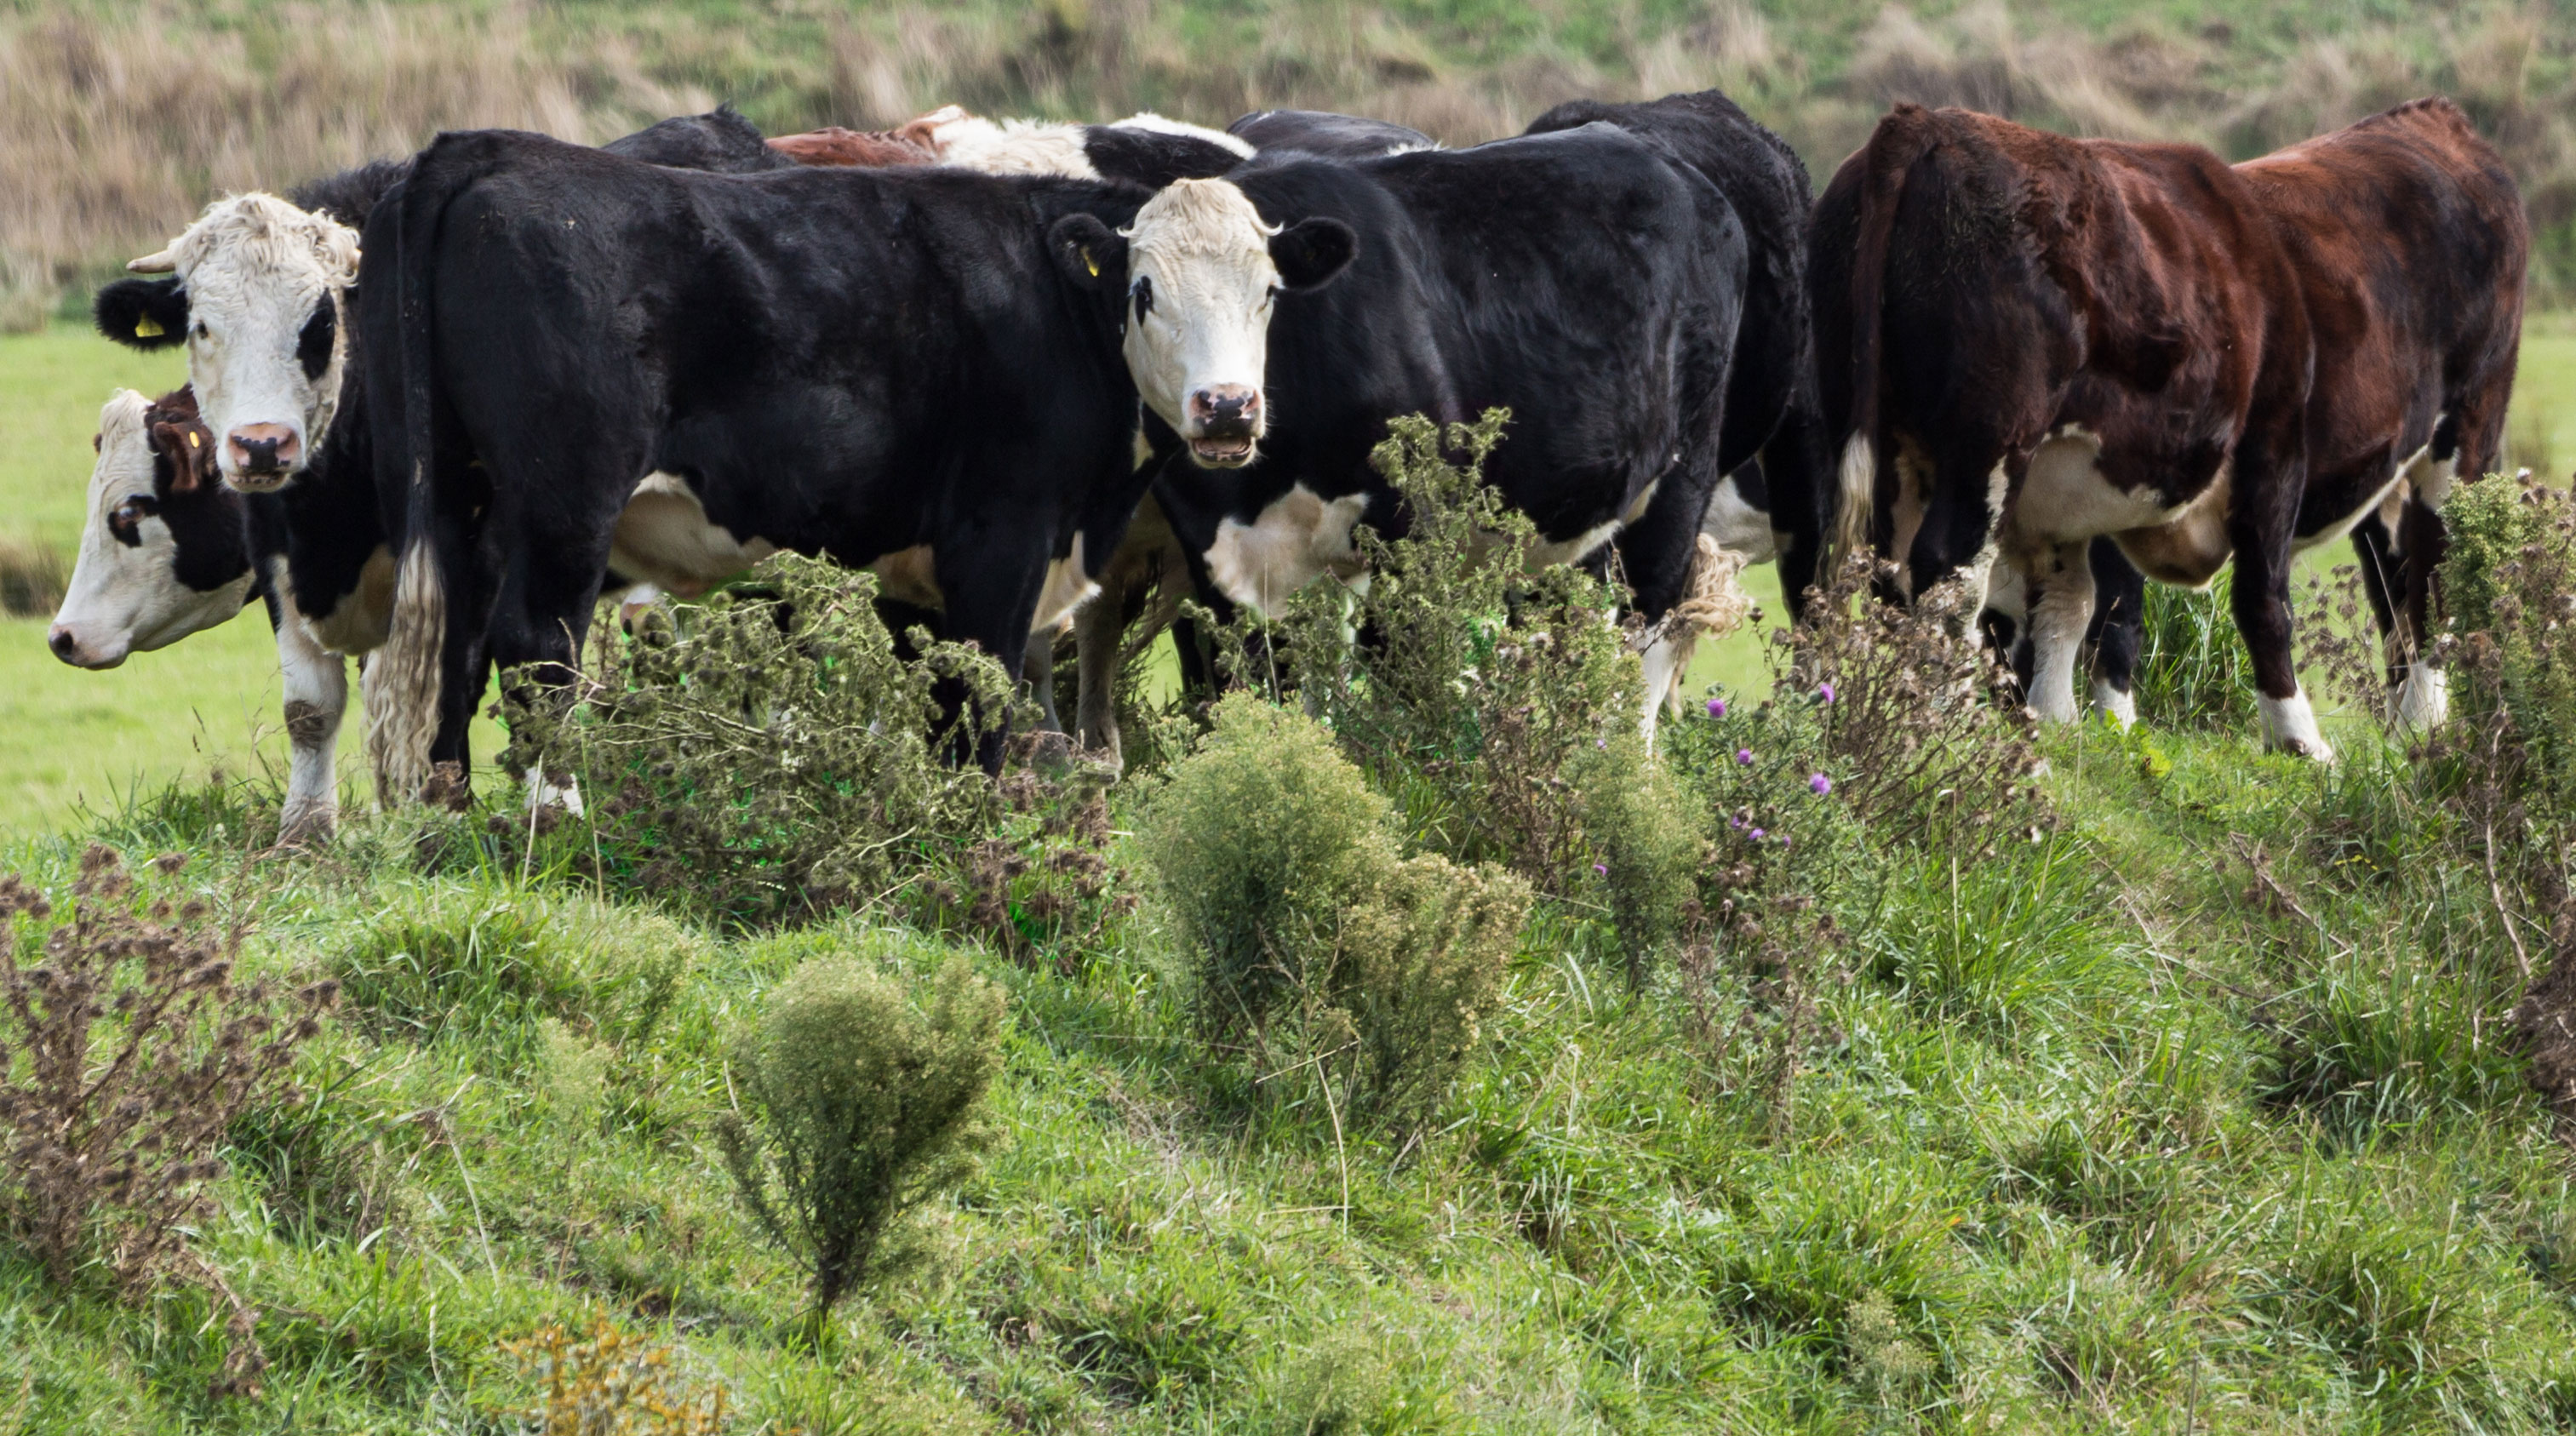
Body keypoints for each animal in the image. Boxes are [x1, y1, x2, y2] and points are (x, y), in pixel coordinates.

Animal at [1823, 98, 2524, 766]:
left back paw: (2415, 726)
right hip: (1985, 450)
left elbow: (2081, 604)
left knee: (2416, 579)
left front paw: (2064, 722)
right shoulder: (2265, 445)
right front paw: (2298, 742)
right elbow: (2251, 603)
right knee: (1940, 577)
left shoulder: (2113, 484)